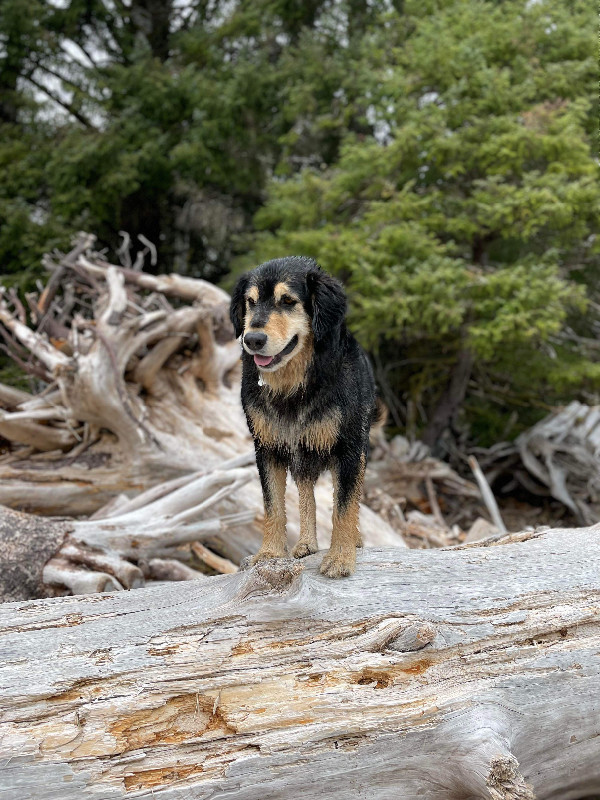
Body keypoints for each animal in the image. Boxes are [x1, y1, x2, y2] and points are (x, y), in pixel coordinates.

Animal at [227, 260, 382, 580]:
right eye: (251, 302)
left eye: (288, 301)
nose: (253, 339)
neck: (294, 388)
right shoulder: (267, 450)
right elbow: (273, 506)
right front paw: (270, 553)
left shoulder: (348, 450)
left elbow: (344, 507)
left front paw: (341, 556)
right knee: (306, 492)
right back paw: (307, 543)